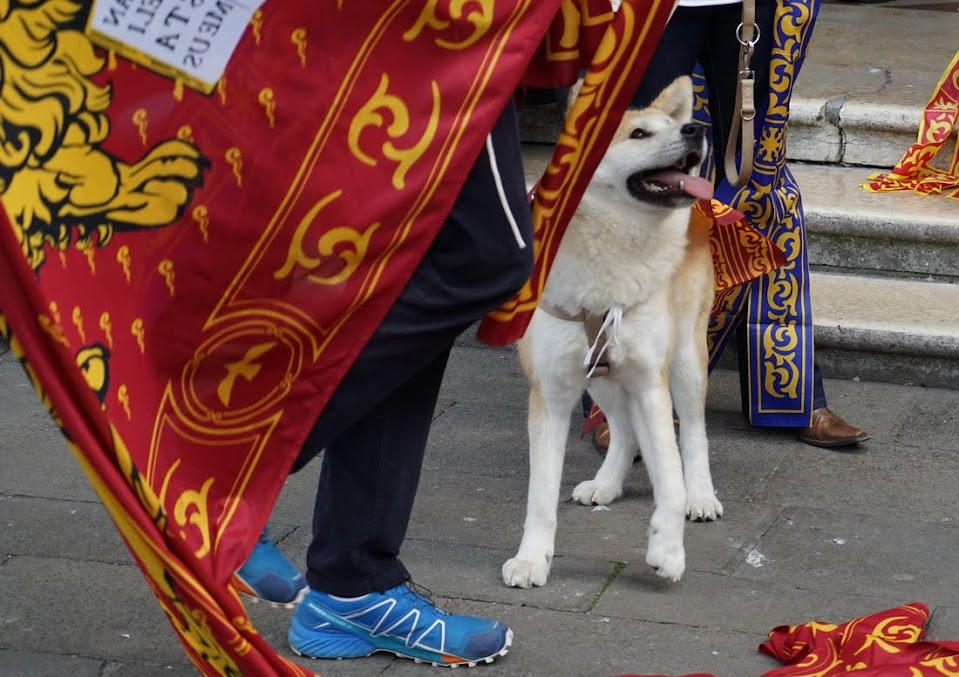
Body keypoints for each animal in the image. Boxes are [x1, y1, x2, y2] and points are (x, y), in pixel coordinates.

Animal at [506, 76, 724, 588]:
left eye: (673, 126)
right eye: (639, 134)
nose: (695, 129)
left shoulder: (649, 382)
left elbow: (670, 473)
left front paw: (667, 548)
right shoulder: (552, 390)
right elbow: (540, 494)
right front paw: (532, 559)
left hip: (685, 361)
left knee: (694, 435)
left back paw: (701, 496)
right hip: (599, 375)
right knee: (623, 429)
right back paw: (607, 483)